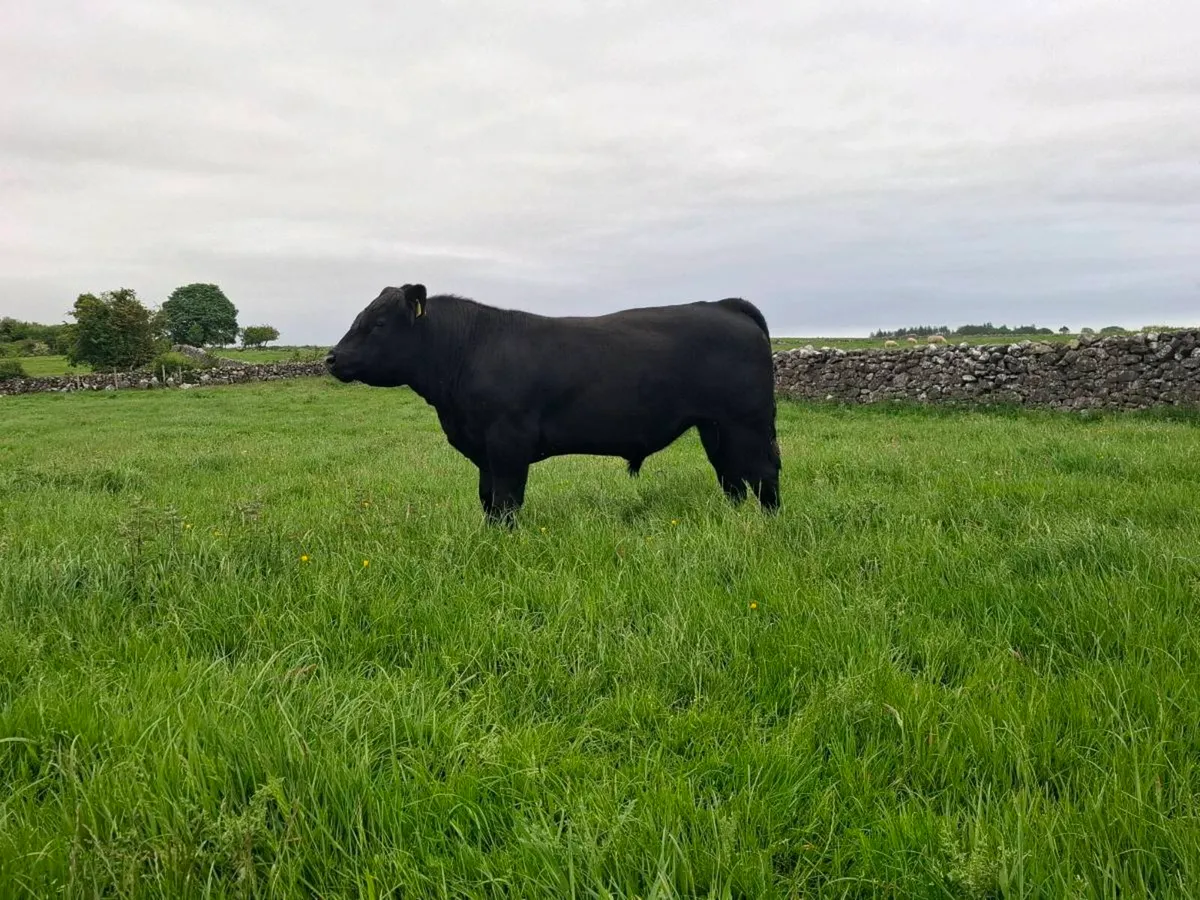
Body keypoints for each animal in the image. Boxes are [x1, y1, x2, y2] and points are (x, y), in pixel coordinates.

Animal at [325, 284, 782, 525]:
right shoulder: (485, 451)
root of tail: (725, 305)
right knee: (732, 478)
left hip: (748, 423)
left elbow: (506, 501)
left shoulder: (508, 444)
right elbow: (488, 500)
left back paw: (769, 525)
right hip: (715, 427)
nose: (331, 358)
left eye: (378, 323)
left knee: (764, 476)